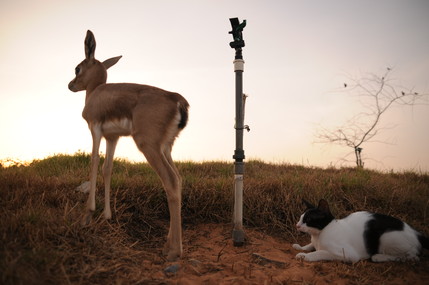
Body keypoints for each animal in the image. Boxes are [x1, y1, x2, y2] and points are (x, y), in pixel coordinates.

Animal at [67, 30, 188, 260]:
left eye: (78, 67)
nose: (71, 85)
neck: (95, 93)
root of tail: (177, 99)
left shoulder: (95, 129)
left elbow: (94, 161)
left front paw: (87, 214)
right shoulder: (112, 137)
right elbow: (107, 168)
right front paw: (106, 215)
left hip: (148, 147)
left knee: (170, 181)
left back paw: (174, 251)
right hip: (166, 148)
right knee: (178, 178)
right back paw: (168, 244)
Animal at [292, 197, 426, 262]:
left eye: (308, 219)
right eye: (300, 218)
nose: (297, 225)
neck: (319, 235)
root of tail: (417, 232)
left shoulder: (348, 254)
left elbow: (321, 252)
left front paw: (305, 256)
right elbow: (310, 245)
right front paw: (300, 247)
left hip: (387, 237)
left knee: (413, 256)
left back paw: (379, 257)